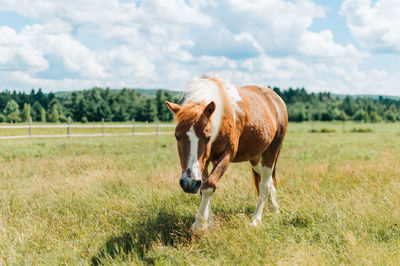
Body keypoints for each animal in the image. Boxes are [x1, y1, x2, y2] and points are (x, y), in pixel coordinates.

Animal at [165, 74, 288, 233]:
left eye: (207, 137)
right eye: (177, 136)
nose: (189, 183)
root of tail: (275, 99)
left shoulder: (226, 156)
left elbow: (209, 185)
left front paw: (199, 225)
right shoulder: (204, 162)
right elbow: (203, 188)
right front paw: (208, 222)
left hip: (271, 152)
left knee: (264, 185)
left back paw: (256, 220)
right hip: (255, 158)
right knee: (267, 181)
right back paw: (275, 209)